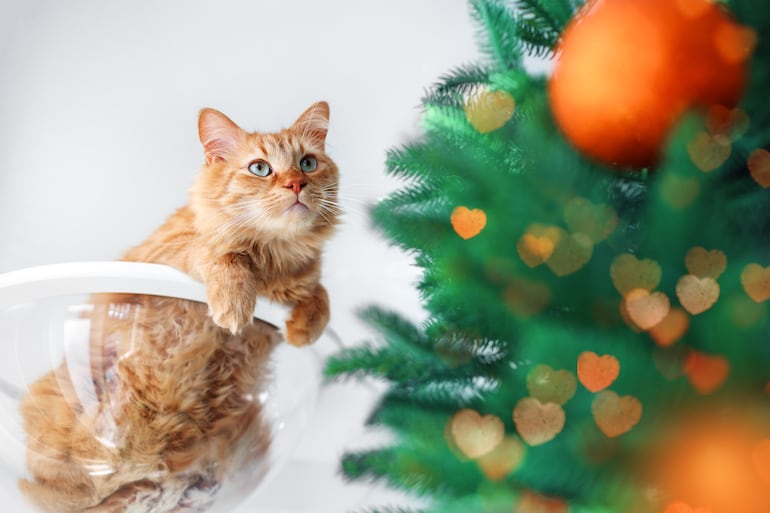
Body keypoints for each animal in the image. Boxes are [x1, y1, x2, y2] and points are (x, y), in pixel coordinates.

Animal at [18, 102, 340, 510]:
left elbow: (320, 292)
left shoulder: (303, 278)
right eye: (260, 168)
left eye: (308, 163)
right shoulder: (162, 252)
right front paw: (234, 301)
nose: (297, 184)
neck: (275, 259)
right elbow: (220, 252)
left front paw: (304, 328)